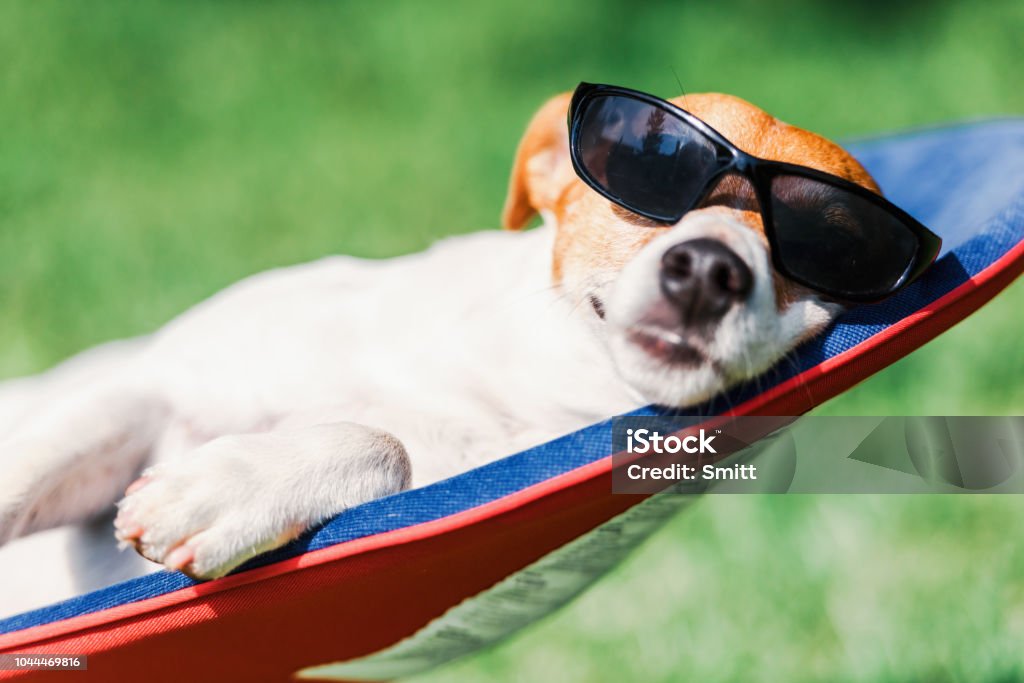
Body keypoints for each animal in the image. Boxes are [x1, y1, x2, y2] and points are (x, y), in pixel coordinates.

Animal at [0, 82, 937, 618]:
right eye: (651, 160)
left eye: (836, 236)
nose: (708, 269)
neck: (506, 373)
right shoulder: (149, 383)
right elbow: (26, 466)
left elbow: (376, 440)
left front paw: (233, 485)